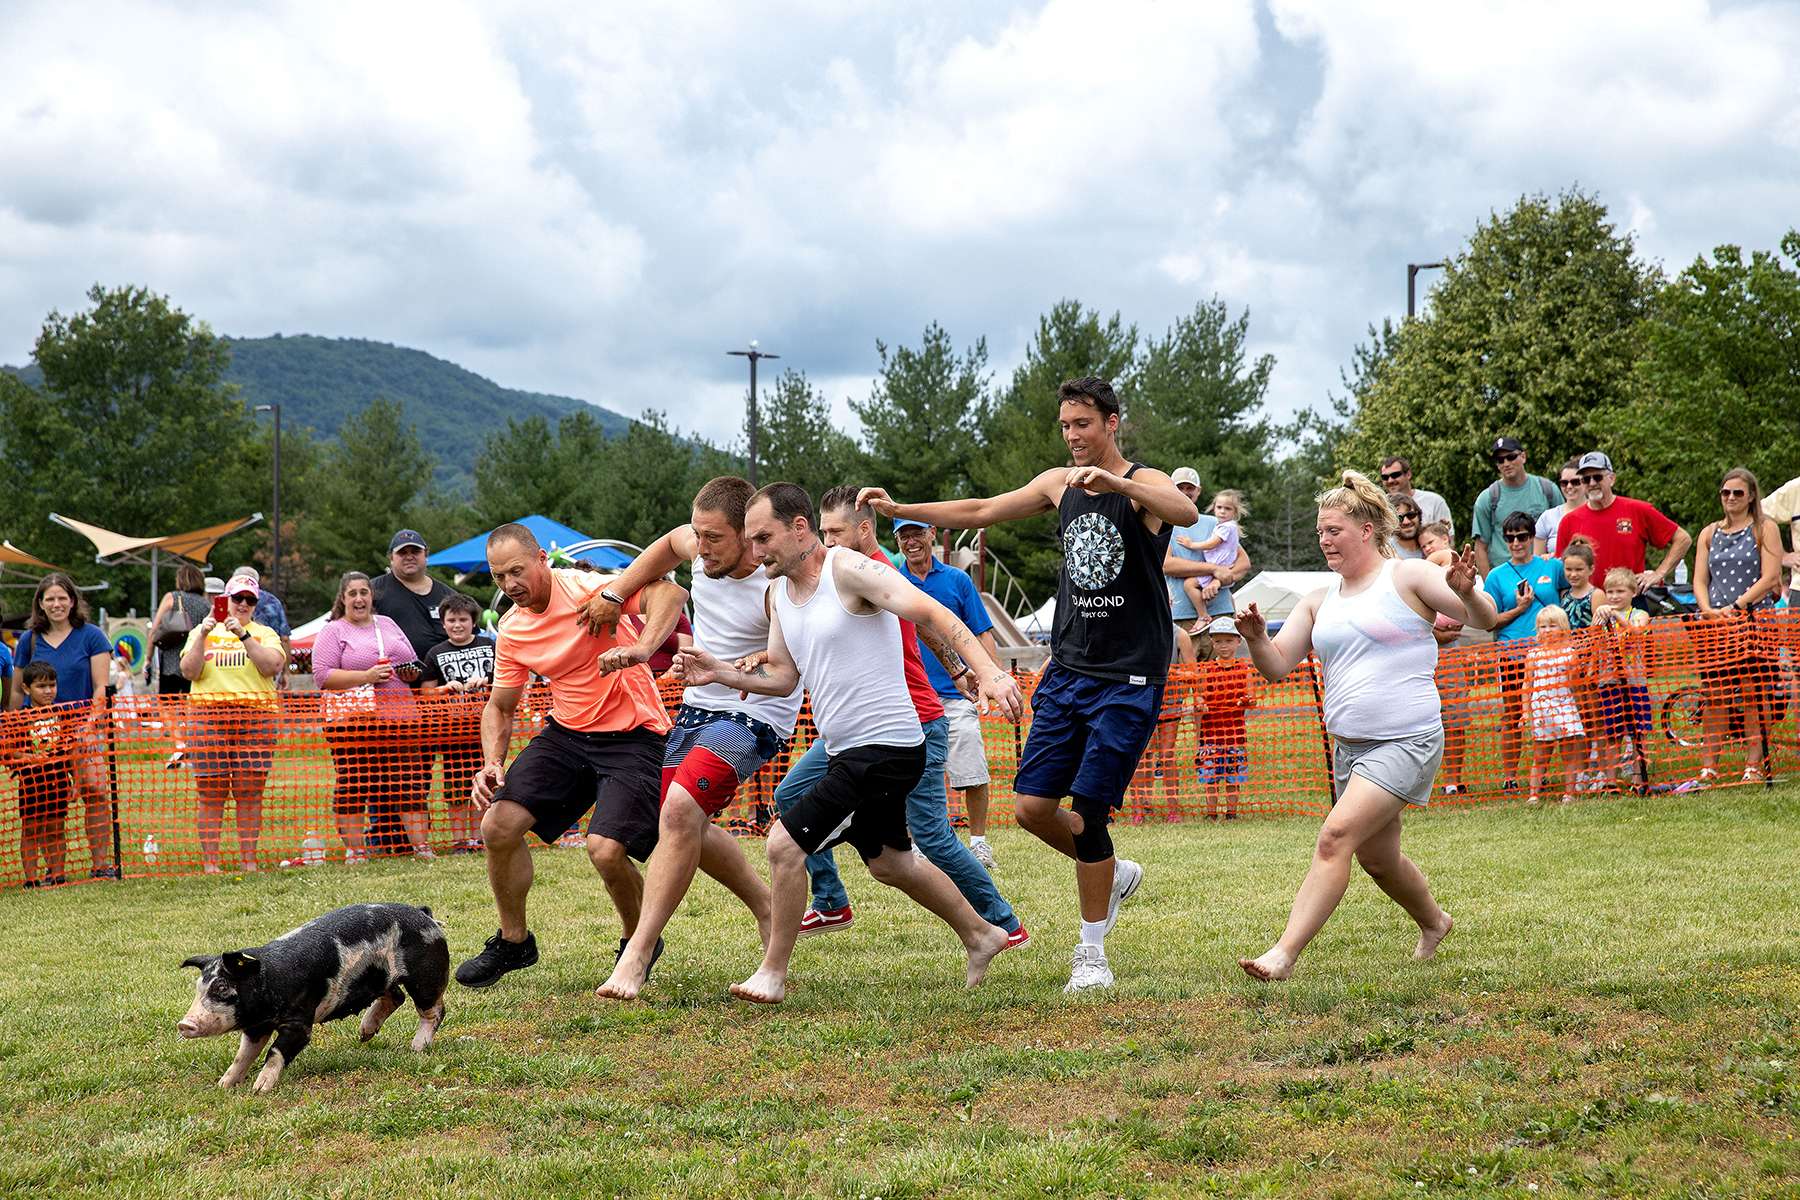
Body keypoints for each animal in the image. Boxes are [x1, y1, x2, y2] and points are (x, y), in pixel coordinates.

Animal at [177, 906, 450, 1093]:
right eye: (199, 988)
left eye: (222, 987)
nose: (184, 1024)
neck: (269, 981)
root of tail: (425, 915)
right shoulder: (256, 1027)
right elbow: (243, 1055)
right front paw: (223, 1085)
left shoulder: (299, 1022)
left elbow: (275, 1051)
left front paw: (259, 1089)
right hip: (381, 979)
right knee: (396, 996)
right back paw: (364, 1034)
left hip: (426, 977)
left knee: (434, 1010)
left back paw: (417, 1047)